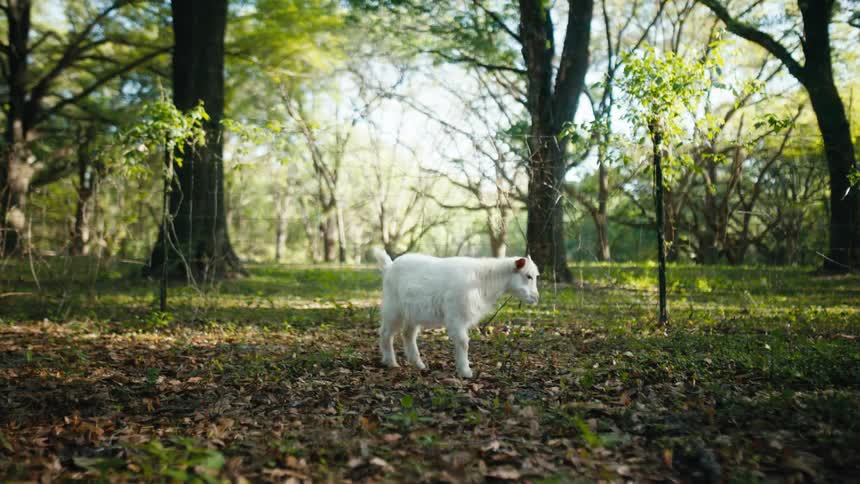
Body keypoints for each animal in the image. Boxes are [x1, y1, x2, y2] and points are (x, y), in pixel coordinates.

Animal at [371, 248, 539, 378]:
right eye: (528, 276)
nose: (536, 298)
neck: (482, 281)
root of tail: (389, 266)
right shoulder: (456, 315)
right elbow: (463, 342)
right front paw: (465, 371)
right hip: (393, 307)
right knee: (385, 332)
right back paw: (391, 362)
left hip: (413, 312)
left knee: (408, 334)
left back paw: (418, 364)